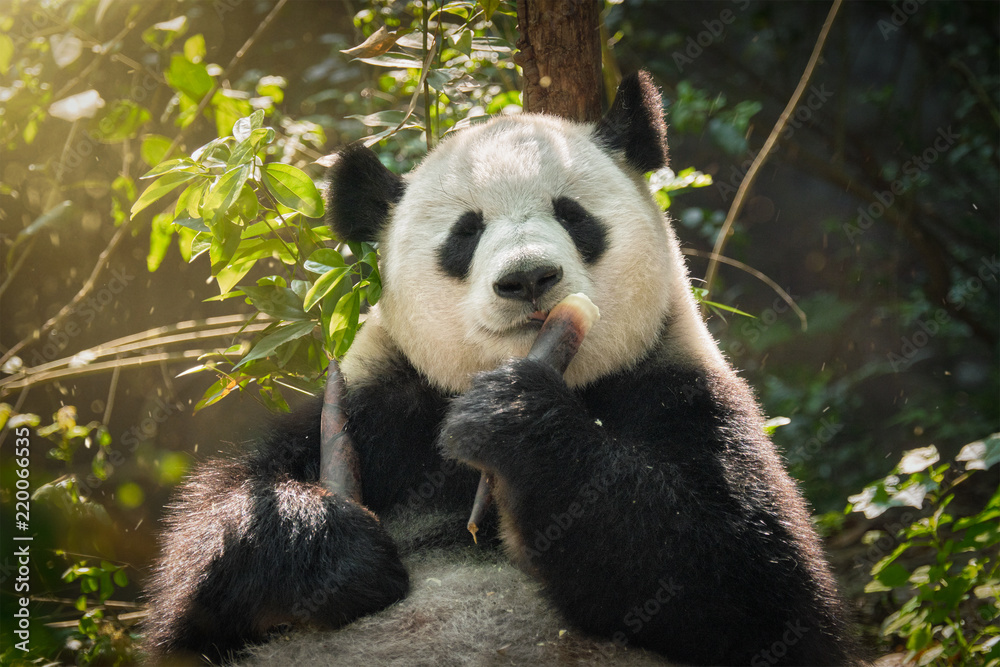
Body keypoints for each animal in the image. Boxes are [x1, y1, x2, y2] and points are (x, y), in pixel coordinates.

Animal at [143, 72, 860, 666]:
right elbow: (204, 561)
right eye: (465, 232)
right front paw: (334, 549)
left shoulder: (679, 391)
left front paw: (515, 420)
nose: (528, 278)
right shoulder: (379, 403)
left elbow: (758, 588)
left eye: (572, 213)